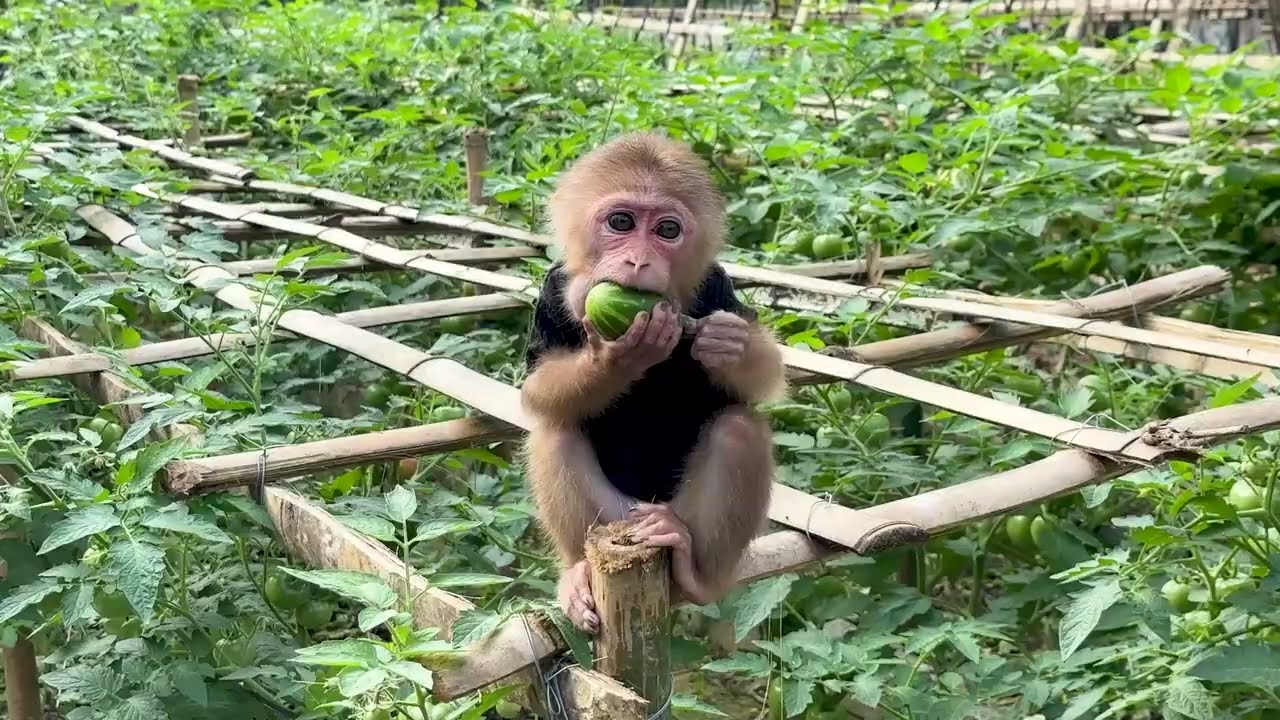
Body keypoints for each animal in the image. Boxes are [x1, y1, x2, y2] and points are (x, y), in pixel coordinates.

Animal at [520, 131, 787, 633]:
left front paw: (727, 342)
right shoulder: (550, 290)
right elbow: (537, 389)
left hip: (669, 520)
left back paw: (693, 573)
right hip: (609, 517)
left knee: (738, 429)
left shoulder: (718, 284)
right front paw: (612, 361)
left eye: (666, 231)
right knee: (555, 429)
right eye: (621, 222)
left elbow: (765, 376)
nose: (638, 261)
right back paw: (576, 573)